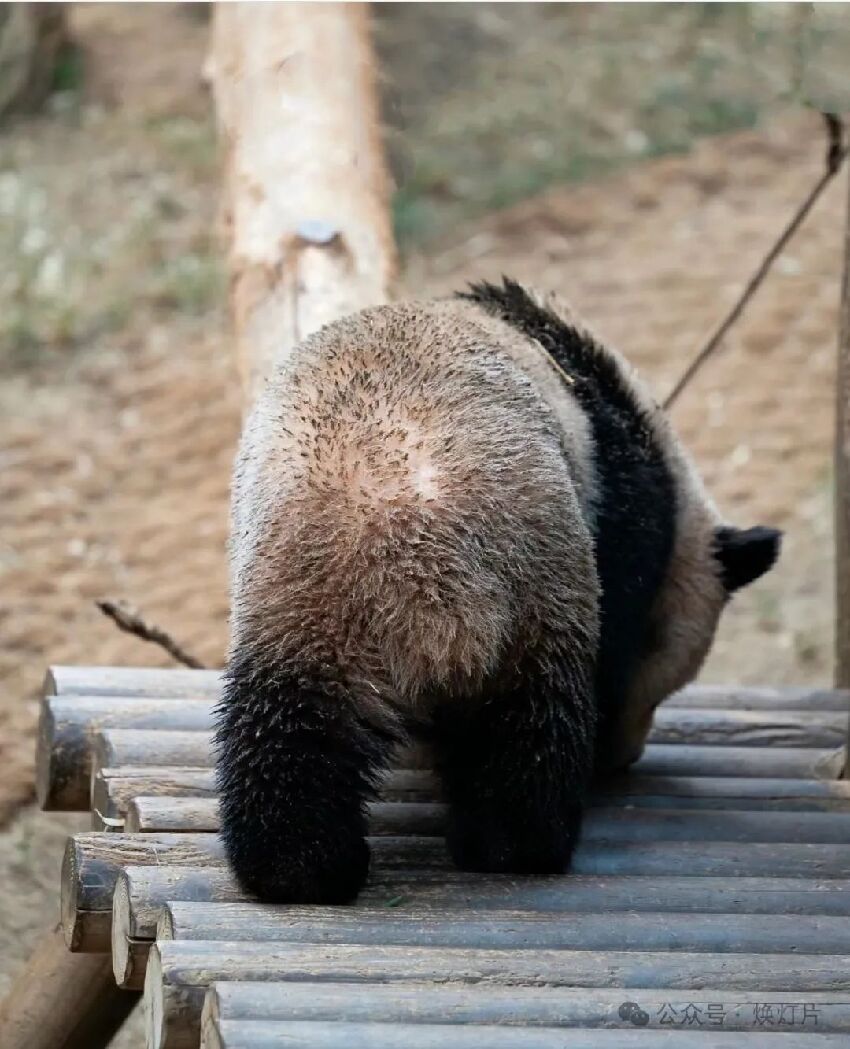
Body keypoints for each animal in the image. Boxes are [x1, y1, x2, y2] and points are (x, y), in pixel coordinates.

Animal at [218, 276, 780, 902]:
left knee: (291, 726)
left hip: (303, 600)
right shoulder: (623, 520)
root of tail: (425, 577)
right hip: (530, 583)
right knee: (529, 732)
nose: (626, 756)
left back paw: (308, 866)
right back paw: (511, 846)